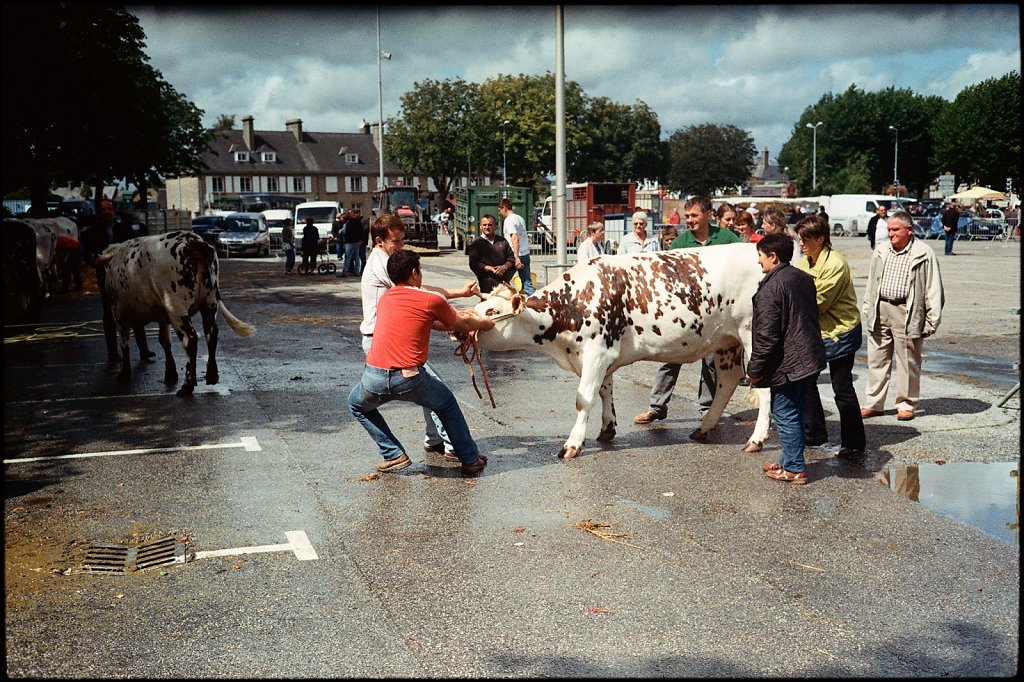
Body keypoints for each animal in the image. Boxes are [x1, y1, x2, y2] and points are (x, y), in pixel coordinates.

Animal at [96, 231, 256, 395]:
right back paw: (211, 375)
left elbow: (125, 343)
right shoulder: (162, 314)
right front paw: (171, 373)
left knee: (190, 338)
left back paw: (187, 385)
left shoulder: (119, 313)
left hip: (177, 308)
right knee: (211, 332)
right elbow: (164, 340)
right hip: (209, 302)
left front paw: (124, 373)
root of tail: (192, 240)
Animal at [464, 238, 770, 456]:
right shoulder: (602, 356)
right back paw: (704, 428)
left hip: (752, 337)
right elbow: (604, 391)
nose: (462, 326)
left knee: (763, 388)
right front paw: (607, 429)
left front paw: (572, 444)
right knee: (728, 380)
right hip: (726, 342)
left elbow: (583, 398)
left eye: (492, 311)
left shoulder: (597, 352)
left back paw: (756, 439)